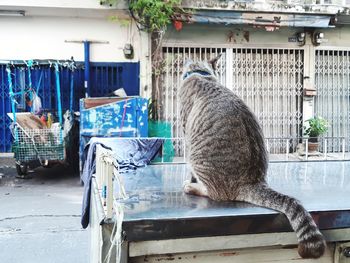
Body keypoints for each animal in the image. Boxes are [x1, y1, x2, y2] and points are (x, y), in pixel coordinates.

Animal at [179, 56, 326, 260]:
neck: (201, 74)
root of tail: (253, 181)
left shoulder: (186, 132)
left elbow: (191, 172)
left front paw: (191, 181)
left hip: (197, 156)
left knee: (215, 193)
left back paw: (192, 187)